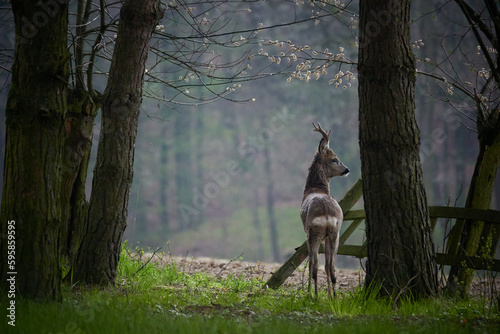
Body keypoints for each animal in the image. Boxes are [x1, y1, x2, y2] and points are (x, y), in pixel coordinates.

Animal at [300, 122, 348, 298]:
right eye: (334, 159)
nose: (346, 169)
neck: (315, 189)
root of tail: (327, 214)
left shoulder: (307, 231)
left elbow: (311, 263)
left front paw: (308, 292)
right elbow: (327, 266)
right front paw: (328, 295)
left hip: (315, 231)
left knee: (314, 265)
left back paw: (314, 297)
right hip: (335, 232)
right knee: (331, 267)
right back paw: (334, 298)